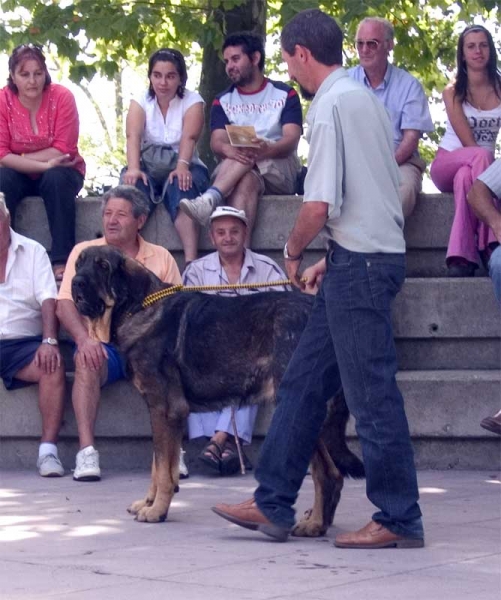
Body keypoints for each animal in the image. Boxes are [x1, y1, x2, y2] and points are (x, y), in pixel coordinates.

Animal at [71, 245, 364, 536]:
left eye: (103, 266)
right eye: (78, 264)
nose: (75, 283)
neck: (139, 307)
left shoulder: (166, 409)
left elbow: (163, 469)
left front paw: (156, 511)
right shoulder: (160, 411)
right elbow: (158, 465)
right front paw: (149, 502)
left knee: (326, 474)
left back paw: (313, 525)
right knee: (333, 473)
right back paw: (319, 520)